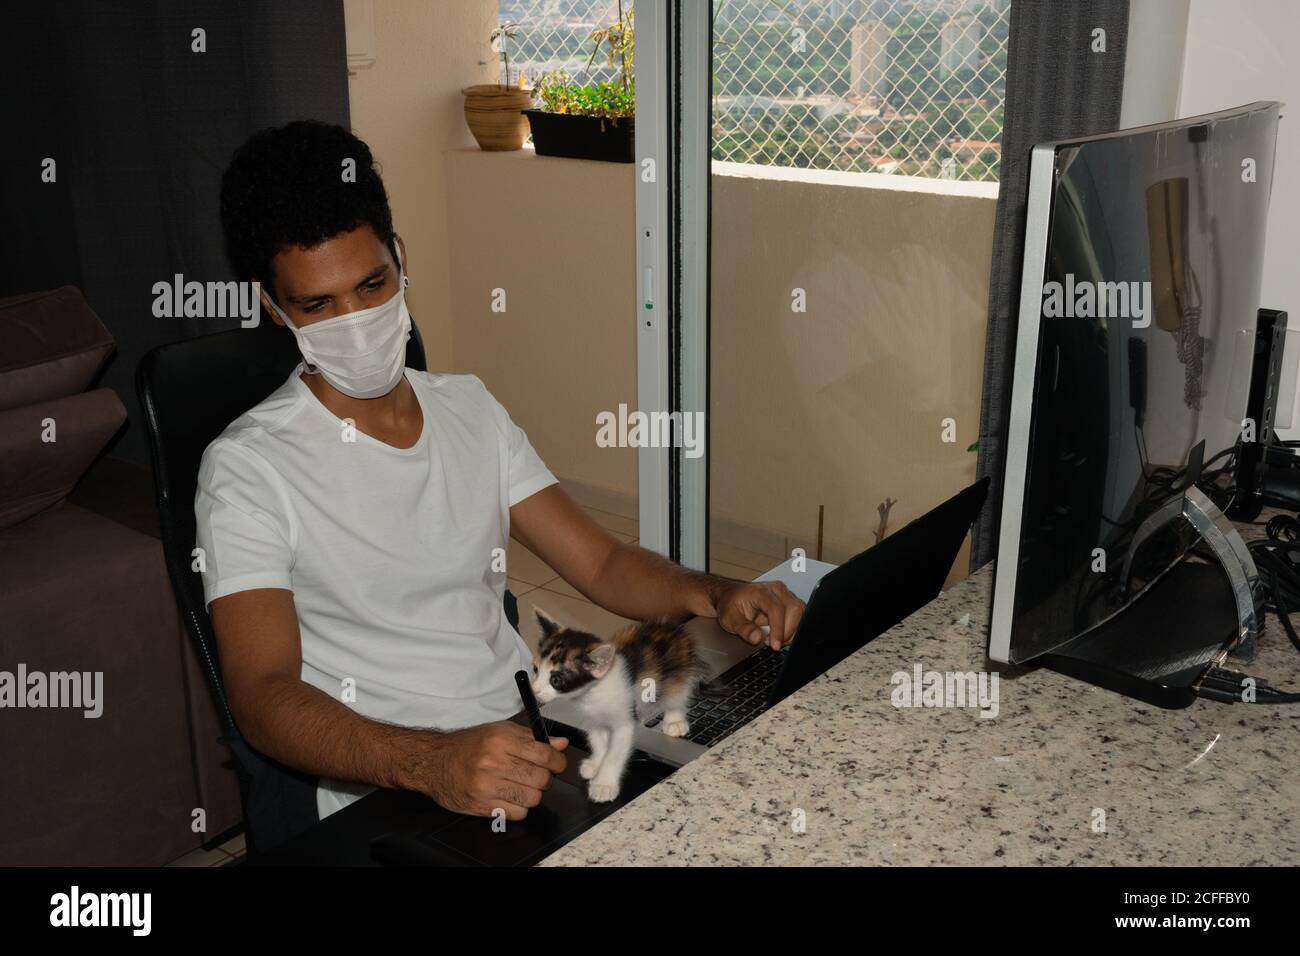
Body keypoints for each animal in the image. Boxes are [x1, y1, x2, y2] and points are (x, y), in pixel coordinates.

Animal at [525, 608, 702, 806]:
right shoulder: (593, 721)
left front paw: (604, 784)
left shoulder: (624, 722)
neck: (595, 692)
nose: (534, 690)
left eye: (556, 680)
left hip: (679, 671)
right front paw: (596, 764)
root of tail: (669, 627)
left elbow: (614, 753)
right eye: (535, 669)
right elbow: (599, 742)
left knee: (678, 695)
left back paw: (674, 721)